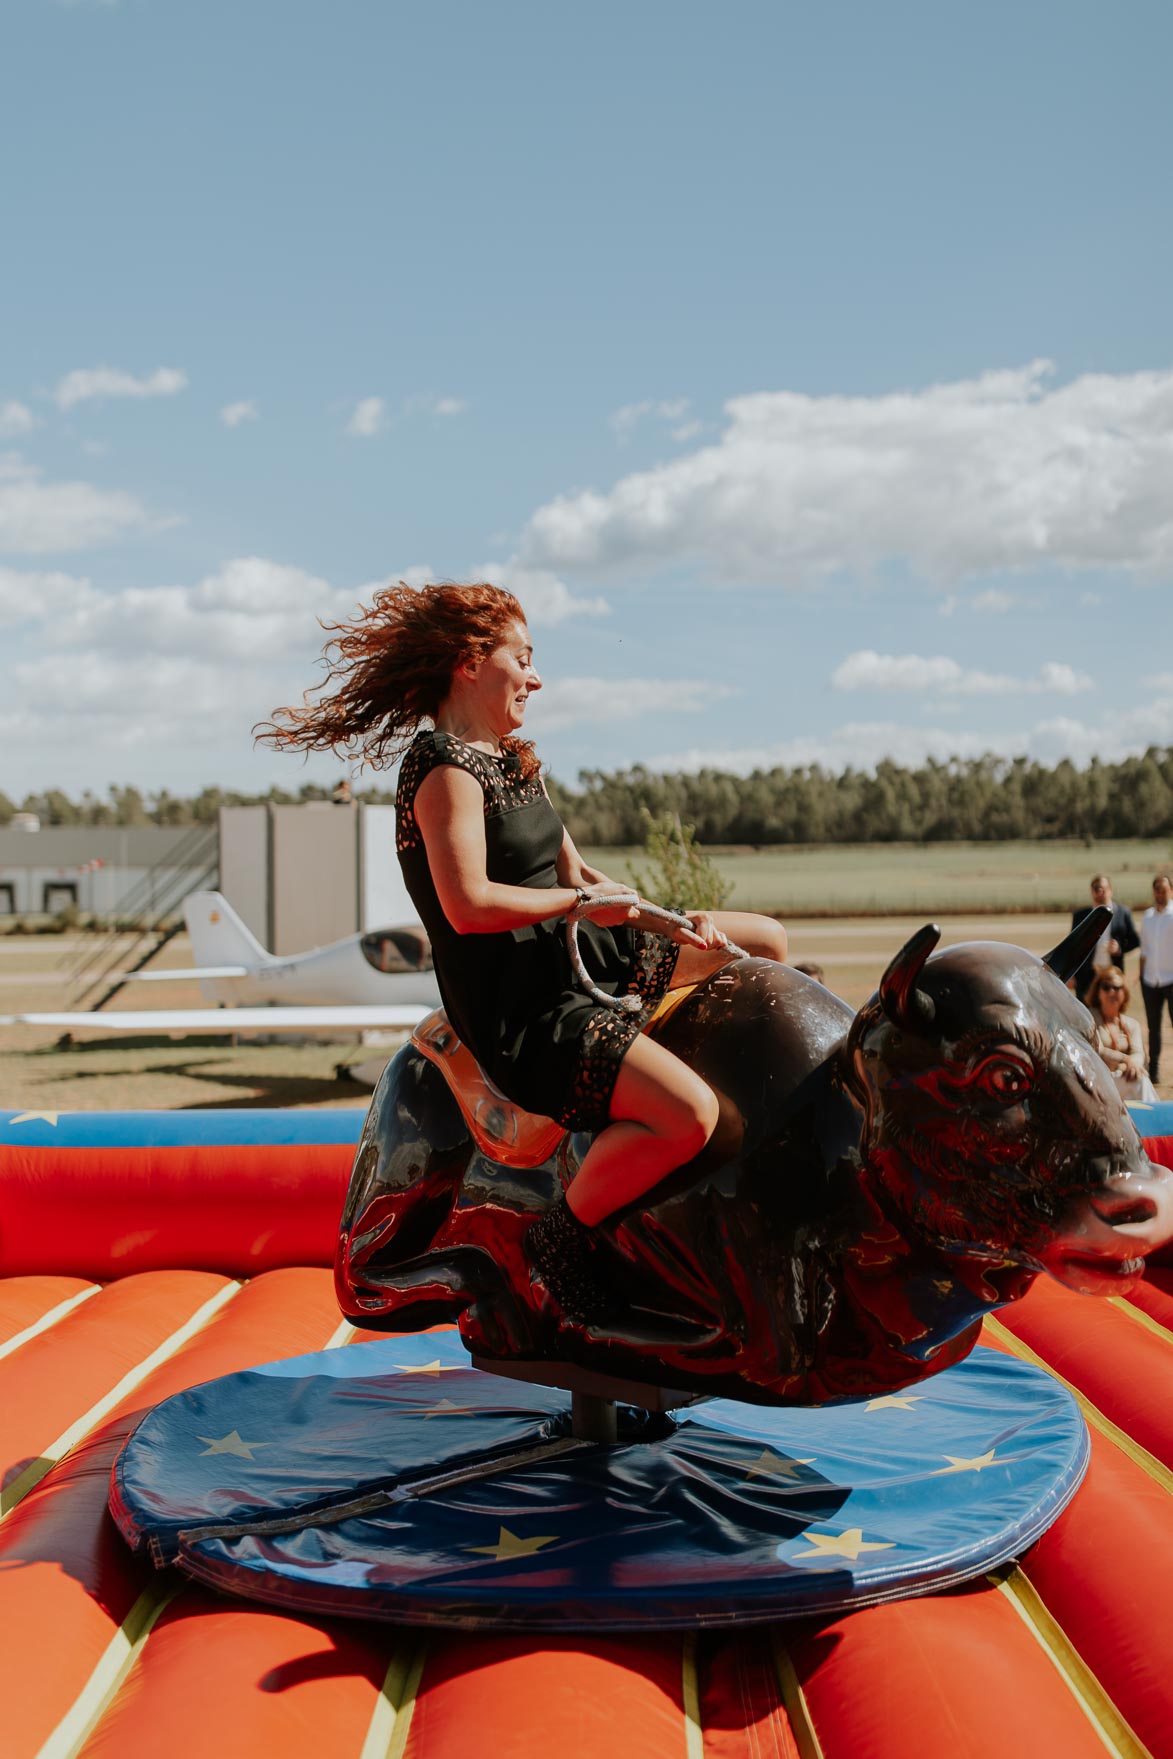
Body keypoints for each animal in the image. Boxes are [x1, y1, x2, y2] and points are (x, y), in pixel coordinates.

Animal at [334, 914, 1167, 1407]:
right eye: (1001, 1074)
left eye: (1093, 1033)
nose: (1140, 1198)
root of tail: (418, 1037)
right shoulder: (755, 1306)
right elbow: (727, 1354)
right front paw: (556, 1311)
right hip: (403, 1172)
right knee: (365, 1285)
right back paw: (500, 1305)